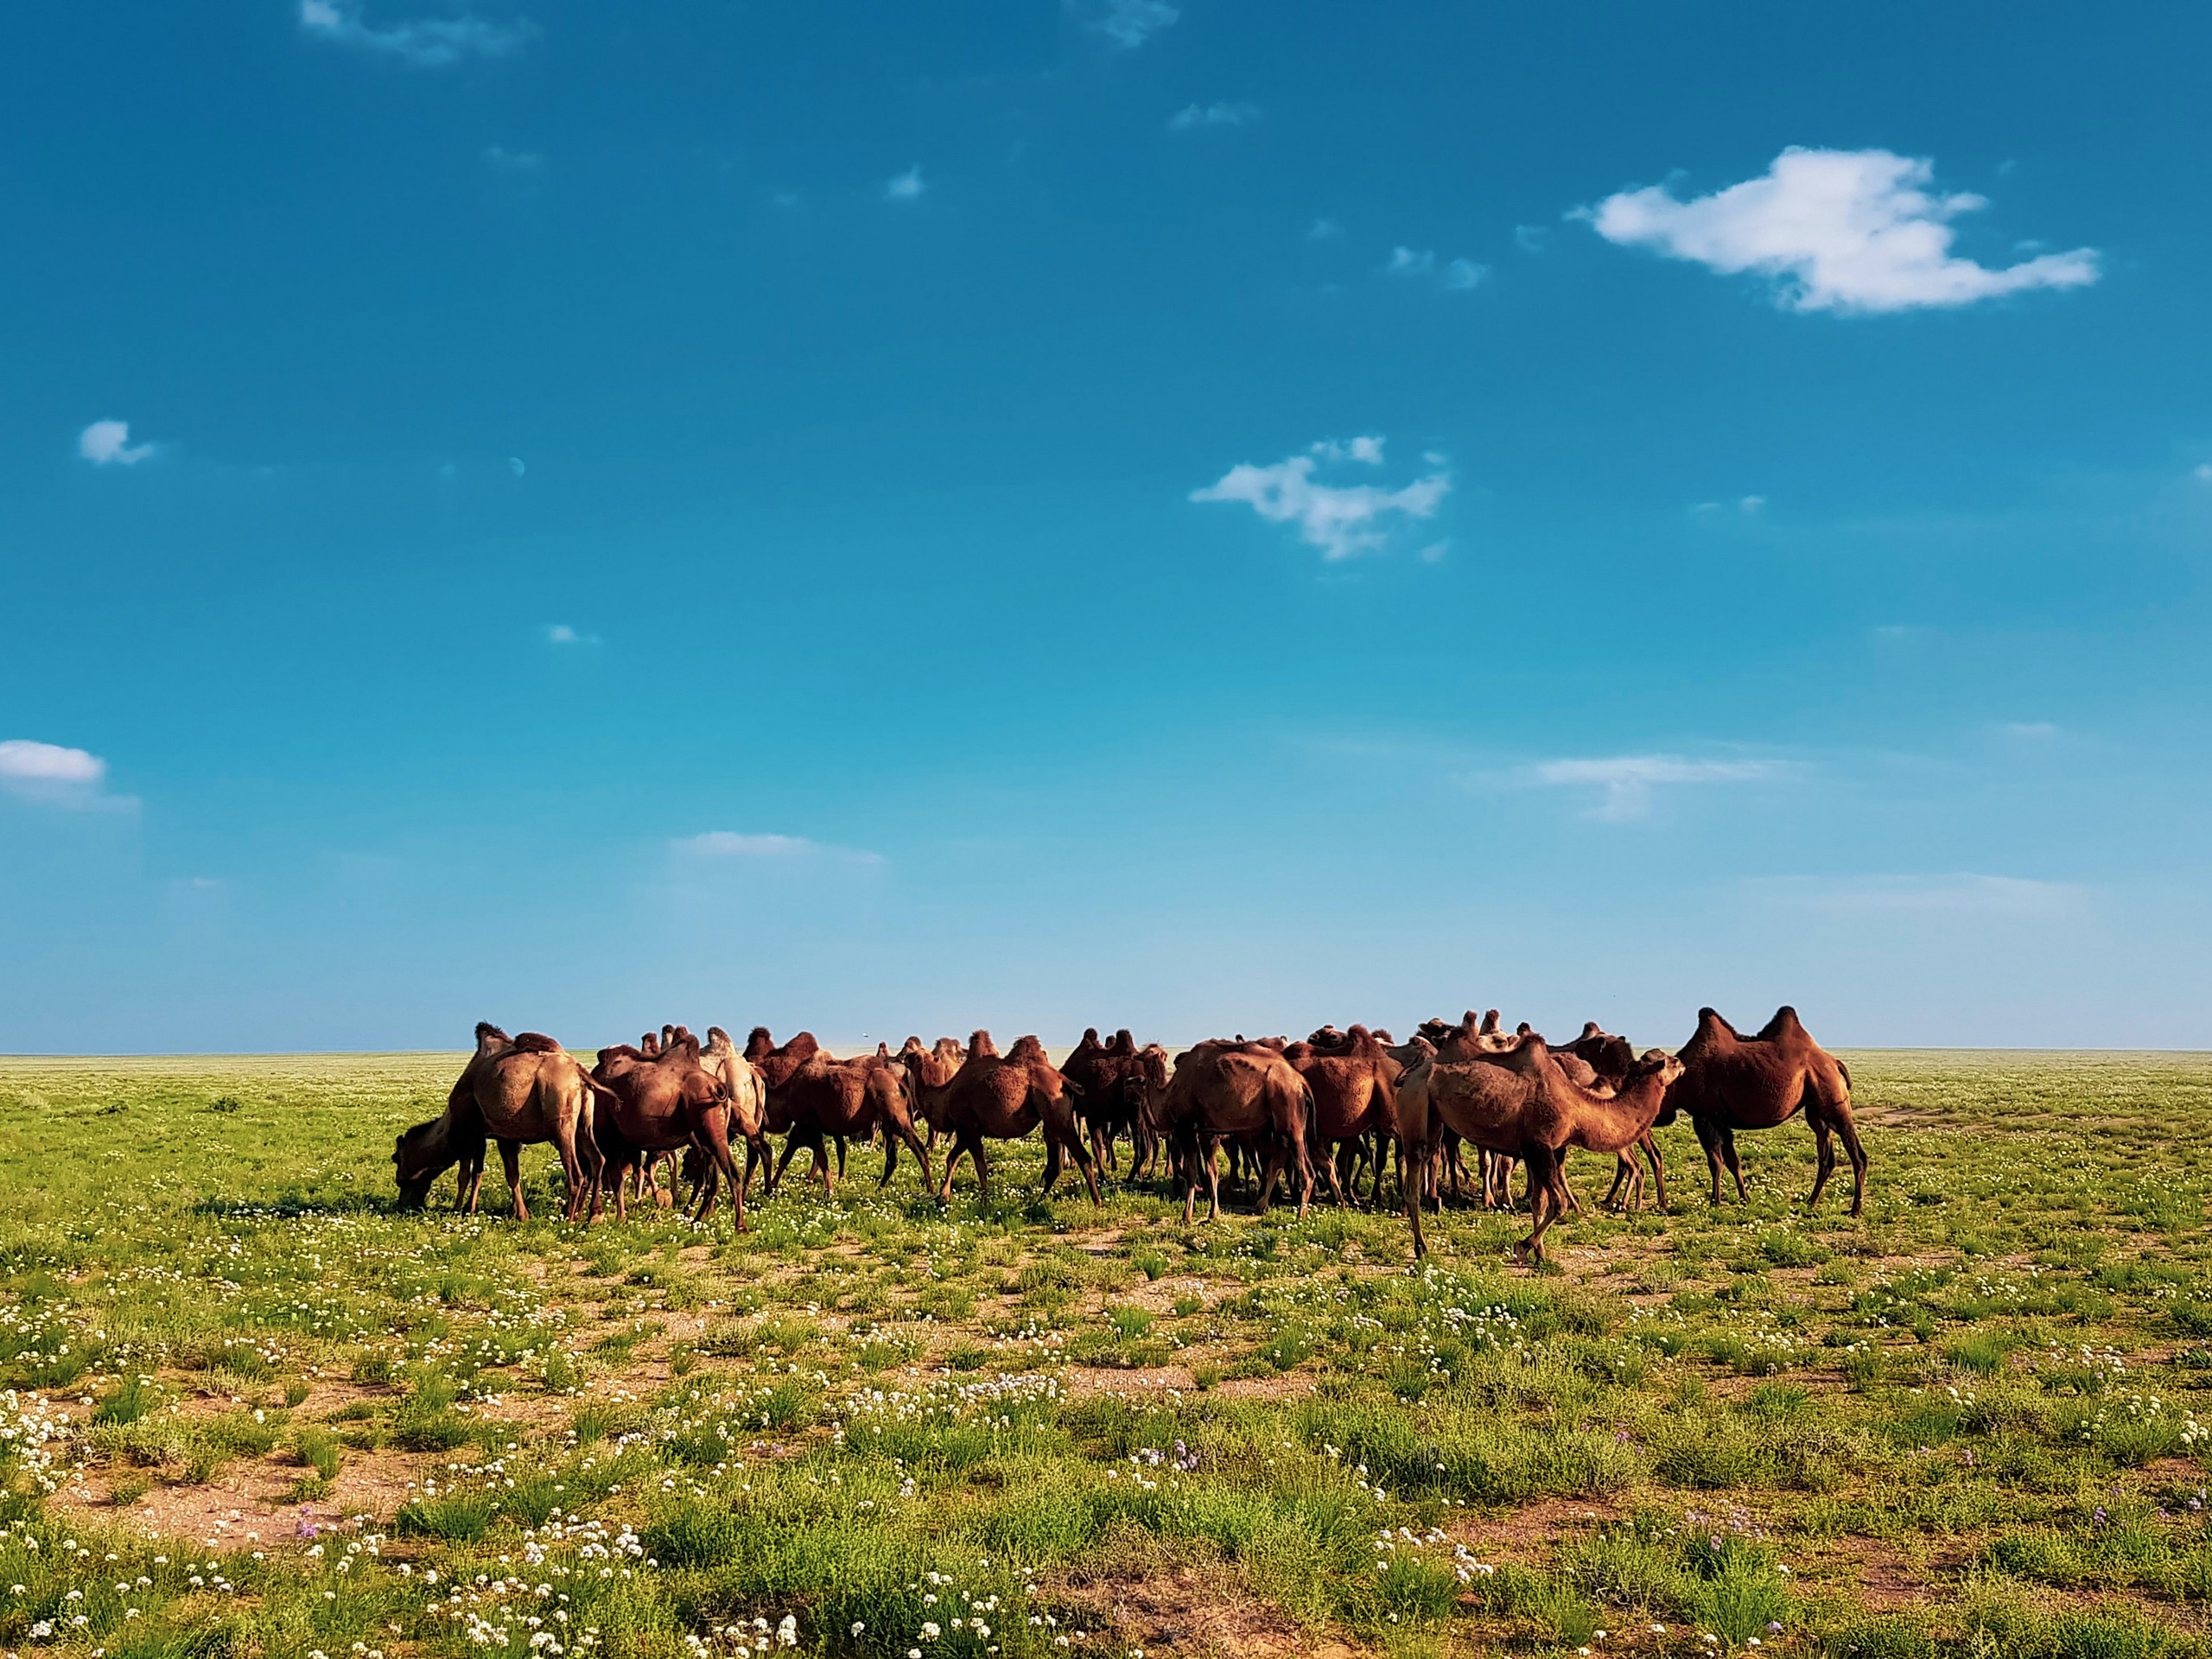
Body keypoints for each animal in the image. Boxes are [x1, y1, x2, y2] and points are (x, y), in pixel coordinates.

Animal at [396, 1021, 606, 1230]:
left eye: (396, 1158)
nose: (401, 1201)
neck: (448, 1127)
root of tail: (579, 1072)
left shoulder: (470, 1133)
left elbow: (467, 1174)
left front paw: (460, 1209)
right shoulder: (502, 1137)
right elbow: (498, 1173)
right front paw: (512, 1212)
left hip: (561, 1121)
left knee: (576, 1173)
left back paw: (568, 1218)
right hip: (583, 1124)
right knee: (597, 1159)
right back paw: (591, 1214)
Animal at [902, 1026, 1101, 1211]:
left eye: (917, 1056)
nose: (905, 1057)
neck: (946, 1093)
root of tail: (1063, 1079)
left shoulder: (968, 1126)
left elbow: (977, 1165)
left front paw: (983, 1202)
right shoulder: (967, 1130)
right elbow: (954, 1158)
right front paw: (944, 1195)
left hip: (1056, 1112)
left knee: (1083, 1158)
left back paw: (1097, 1203)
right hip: (1051, 1120)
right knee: (1055, 1164)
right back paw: (1036, 1202)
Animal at [1672, 1008, 1866, 1211]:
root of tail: (1835, 1063)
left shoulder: (1704, 1116)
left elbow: (1715, 1162)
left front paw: (1715, 1202)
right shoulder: (1721, 1121)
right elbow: (1733, 1161)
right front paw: (1745, 1199)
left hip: (1834, 1098)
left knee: (1857, 1153)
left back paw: (1855, 1209)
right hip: (1816, 1109)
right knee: (1826, 1155)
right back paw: (1811, 1201)